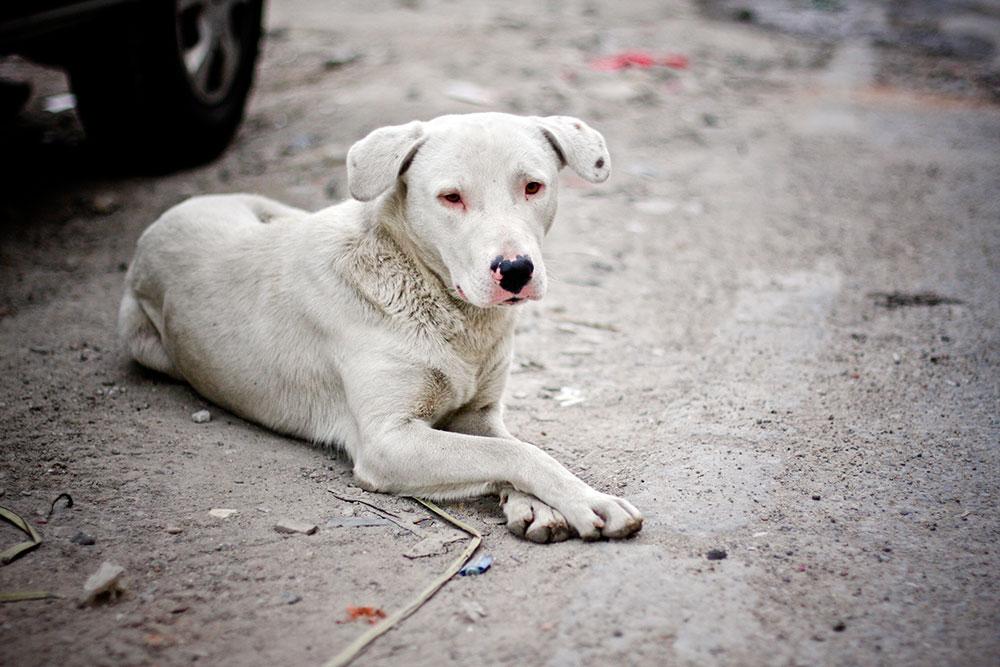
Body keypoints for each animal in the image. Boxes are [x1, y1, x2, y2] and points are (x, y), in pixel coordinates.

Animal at [121, 113, 644, 544]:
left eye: (533, 187)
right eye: (451, 198)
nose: (515, 270)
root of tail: (177, 208)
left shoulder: (479, 414)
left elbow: (511, 447)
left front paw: (536, 505)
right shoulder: (388, 441)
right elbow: (516, 456)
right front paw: (588, 502)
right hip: (144, 341)